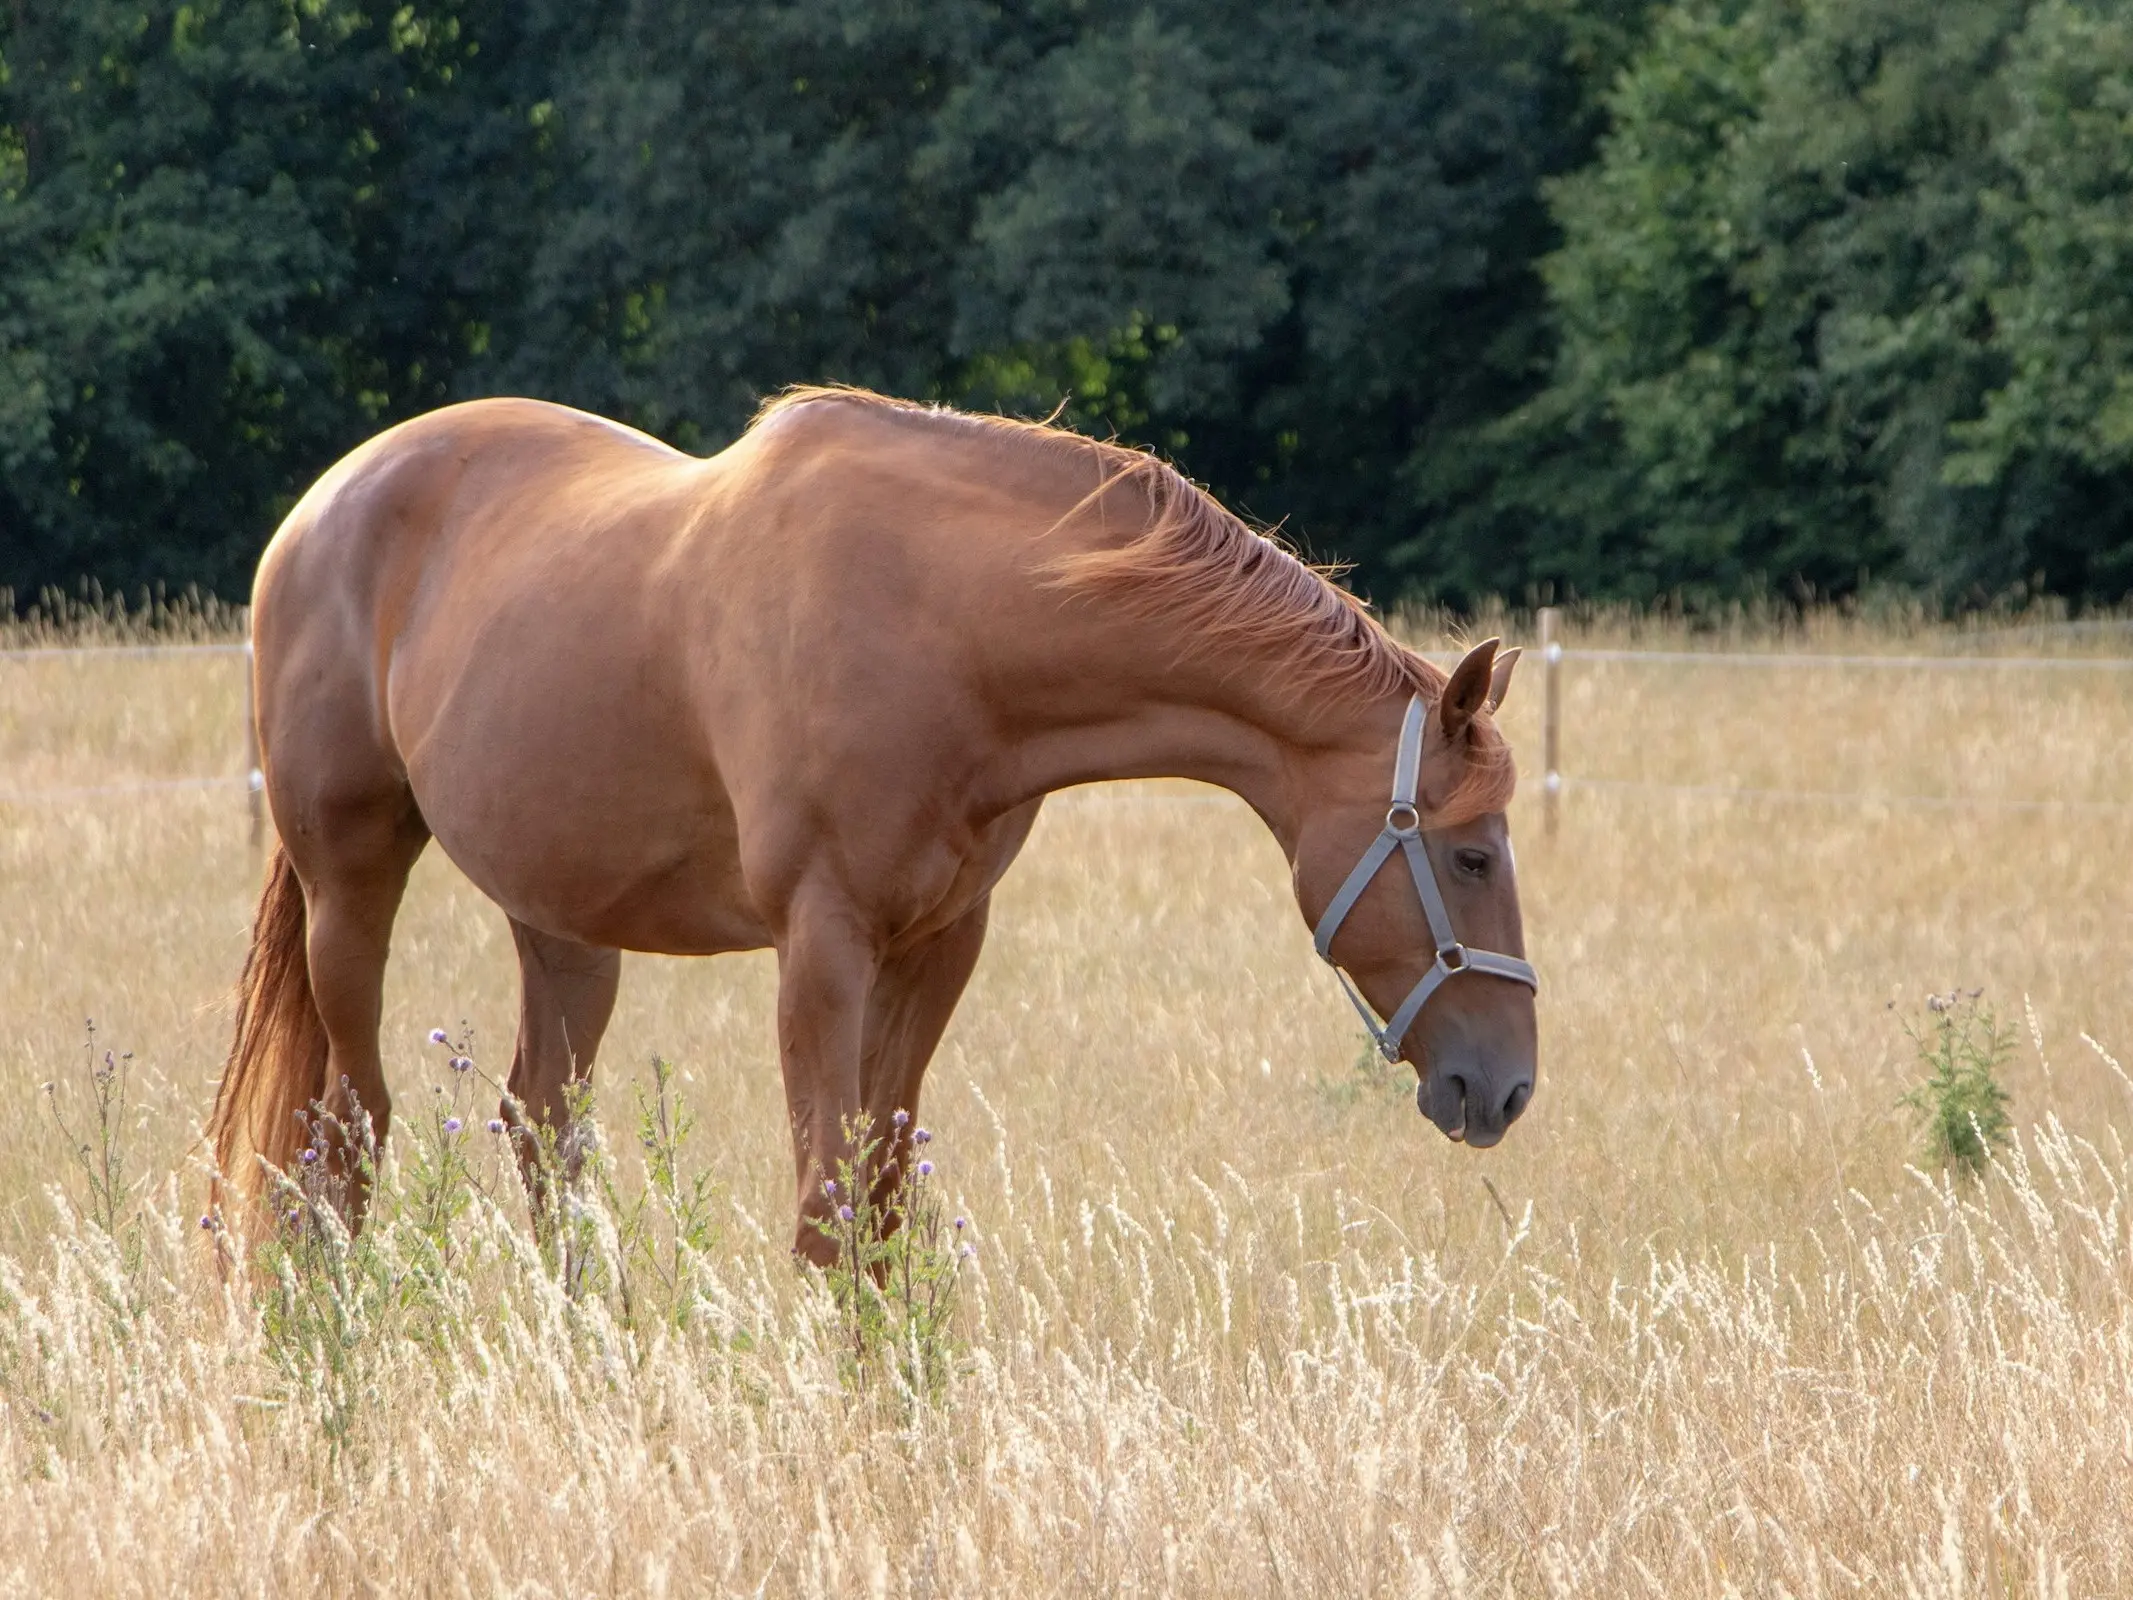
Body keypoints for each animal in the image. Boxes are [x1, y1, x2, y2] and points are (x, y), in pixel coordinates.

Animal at [207, 388, 1544, 1262]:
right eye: (1472, 853)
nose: (1508, 1087)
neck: (949, 624)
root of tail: (318, 509)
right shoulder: (823, 945)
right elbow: (824, 1212)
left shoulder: (938, 944)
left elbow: (887, 1202)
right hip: (350, 885)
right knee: (349, 1137)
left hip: (566, 925)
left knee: (541, 1138)